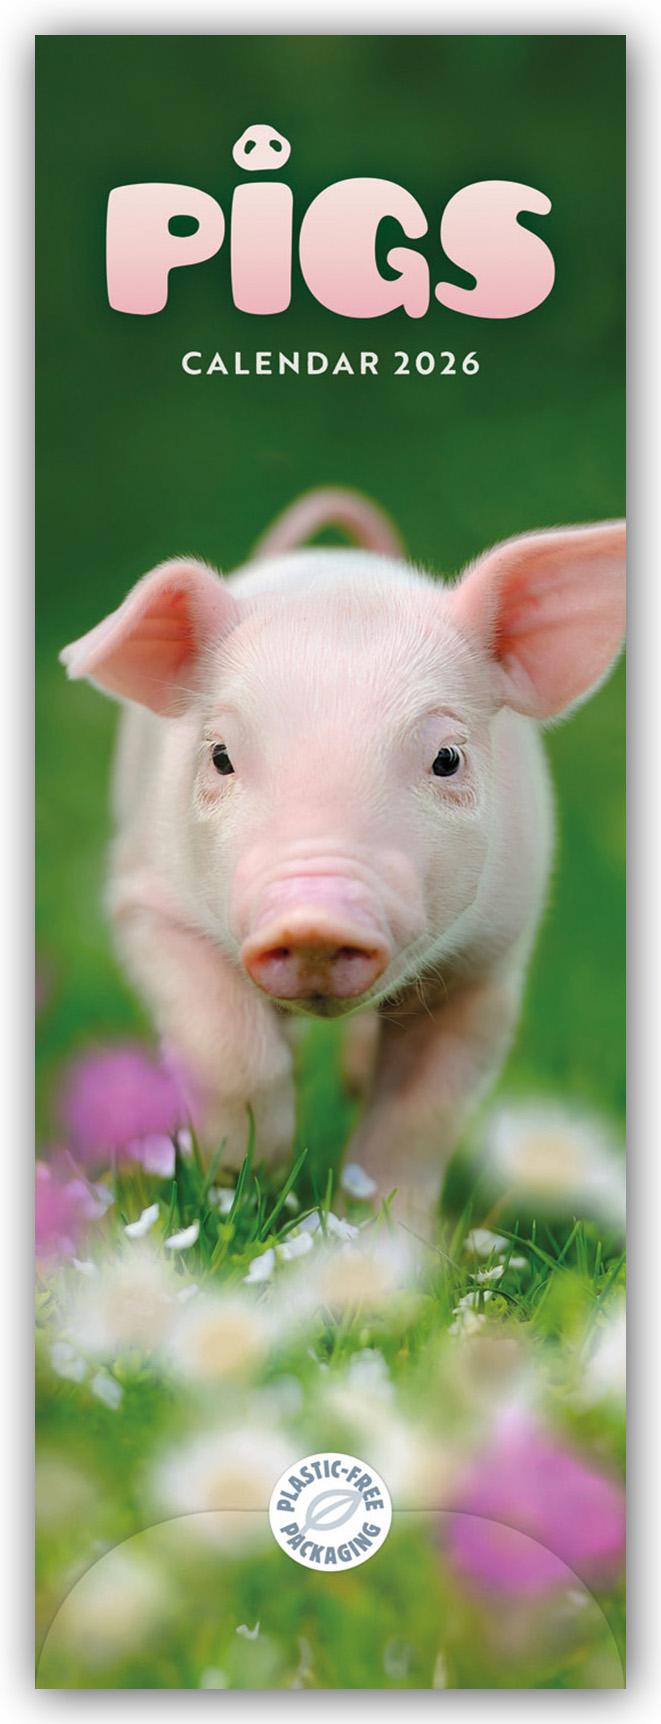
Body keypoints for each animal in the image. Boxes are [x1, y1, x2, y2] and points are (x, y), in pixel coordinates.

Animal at [60, 488, 625, 1232]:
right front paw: (240, 1176)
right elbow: (226, 1046)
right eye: (220, 756)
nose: (313, 922)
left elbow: (422, 1110)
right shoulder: (146, 899)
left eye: (447, 758)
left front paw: (386, 1232)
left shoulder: (489, 959)